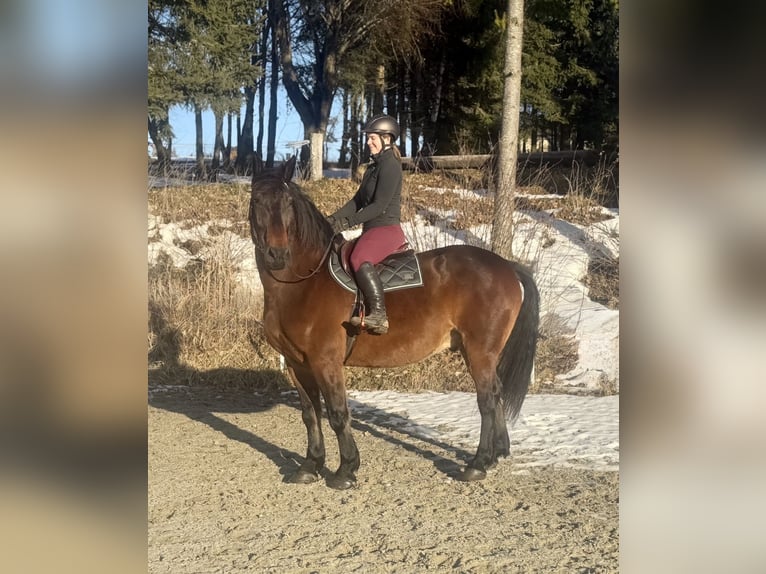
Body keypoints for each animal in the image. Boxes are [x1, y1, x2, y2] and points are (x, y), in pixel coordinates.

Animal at [248, 156, 539, 490]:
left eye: (287, 203)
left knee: (487, 401)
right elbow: (311, 415)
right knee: (496, 393)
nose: (277, 254)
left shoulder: (325, 362)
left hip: (480, 352)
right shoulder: (298, 364)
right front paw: (310, 466)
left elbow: (337, 413)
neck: (303, 283)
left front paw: (346, 469)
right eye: (256, 201)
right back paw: (498, 453)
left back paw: (478, 463)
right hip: (476, 352)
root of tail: (507, 266)